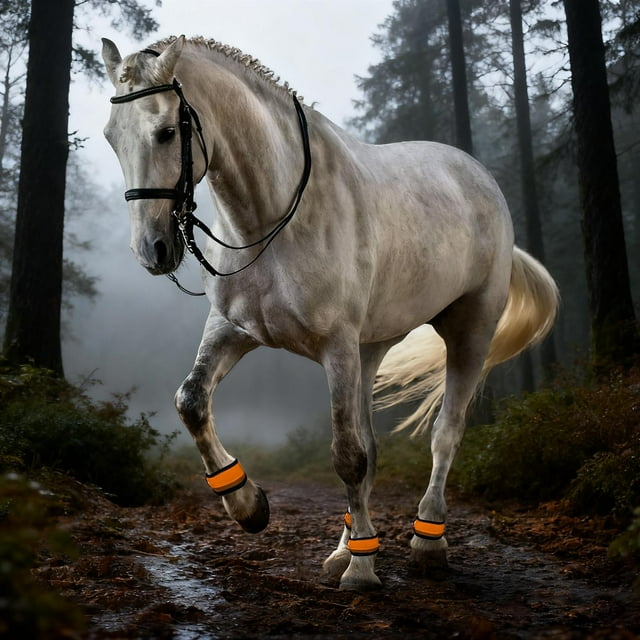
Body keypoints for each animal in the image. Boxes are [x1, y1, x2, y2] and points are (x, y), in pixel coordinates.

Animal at [101, 35, 558, 591]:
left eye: (167, 132)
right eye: (111, 138)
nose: (153, 249)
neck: (273, 219)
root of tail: (479, 177)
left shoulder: (336, 346)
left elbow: (347, 456)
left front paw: (363, 570)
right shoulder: (233, 329)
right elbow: (191, 402)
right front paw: (249, 506)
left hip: (468, 330)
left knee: (444, 434)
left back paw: (426, 541)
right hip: (370, 349)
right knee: (372, 447)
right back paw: (344, 548)